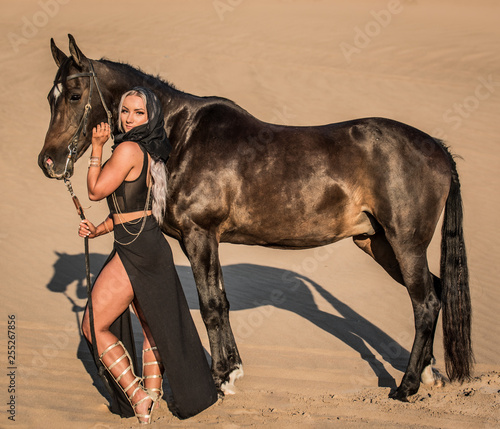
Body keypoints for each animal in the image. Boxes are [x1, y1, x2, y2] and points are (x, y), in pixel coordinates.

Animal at [40, 35, 472, 400]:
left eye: (75, 94)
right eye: (50, 97)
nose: (48, 162)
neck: (179, 136)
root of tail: (438, 149)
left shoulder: (200, 235)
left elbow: (212, 305)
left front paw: (220, 379)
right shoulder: (203, 239)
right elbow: (221, 299)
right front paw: (232, 370)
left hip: (405, 243)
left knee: (425, 302)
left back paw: (407, 385)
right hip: (378, 243)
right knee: (433, 293)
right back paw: (428, 372)